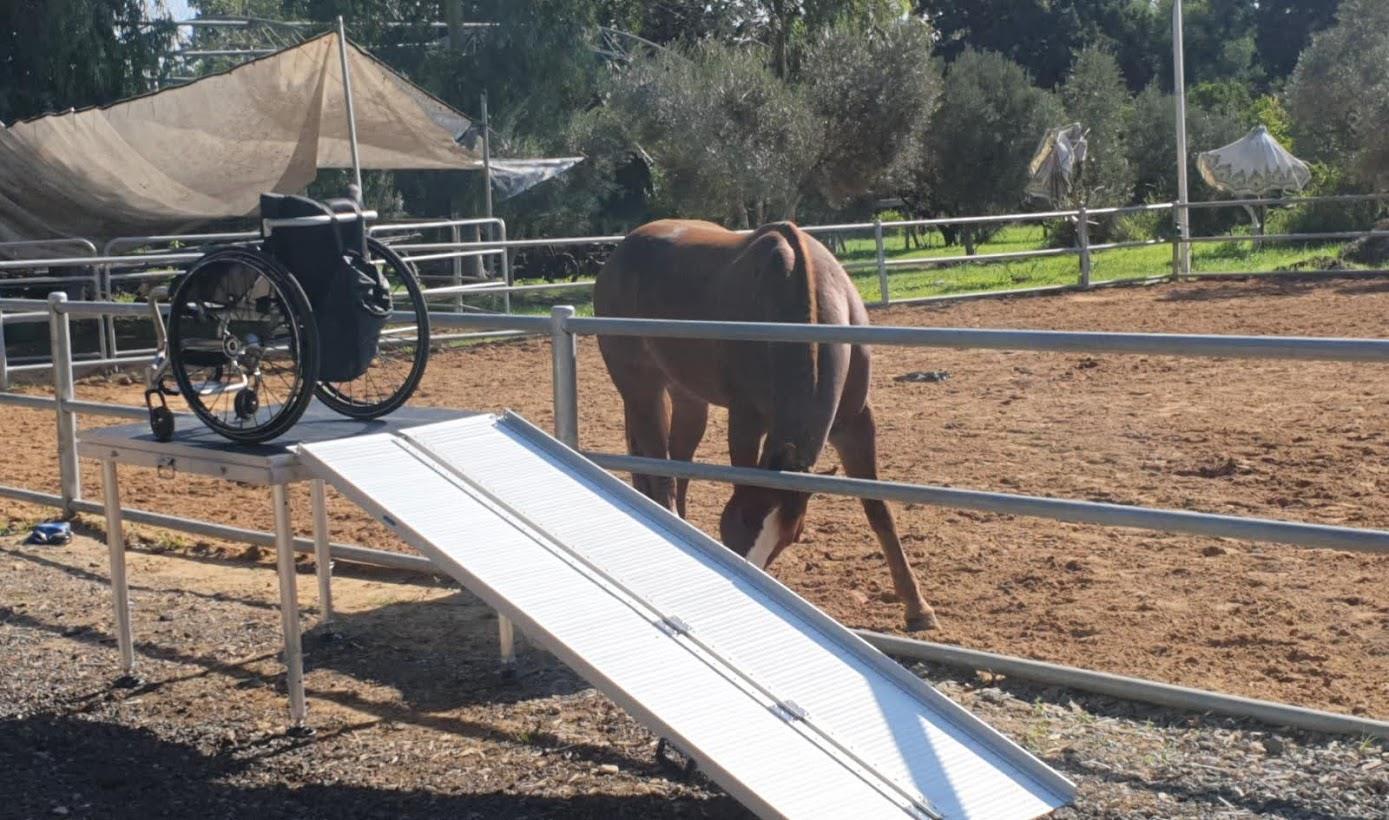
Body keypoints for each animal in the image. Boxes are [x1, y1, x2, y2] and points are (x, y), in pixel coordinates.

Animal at [591, 219, 938, 636]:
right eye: (734, 525)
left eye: (791, 537)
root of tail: (620, 252)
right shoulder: (746, 419)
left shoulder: (855, 423)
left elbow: (878, 510)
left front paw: (918, 608)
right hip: (643, 391)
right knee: (661, 477)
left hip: (688, 399)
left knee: (678, 468)